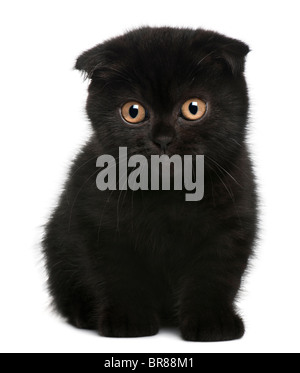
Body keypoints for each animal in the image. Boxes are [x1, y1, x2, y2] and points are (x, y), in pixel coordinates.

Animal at [43, 26, 256, 340]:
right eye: (133, 112)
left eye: (193, 108)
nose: (163, 139)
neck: (168, 193)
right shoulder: (100, 225)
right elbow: (118, 274)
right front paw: (128, 321)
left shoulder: (230, 224)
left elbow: (215, 275)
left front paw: (212, 323)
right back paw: (84, 315)